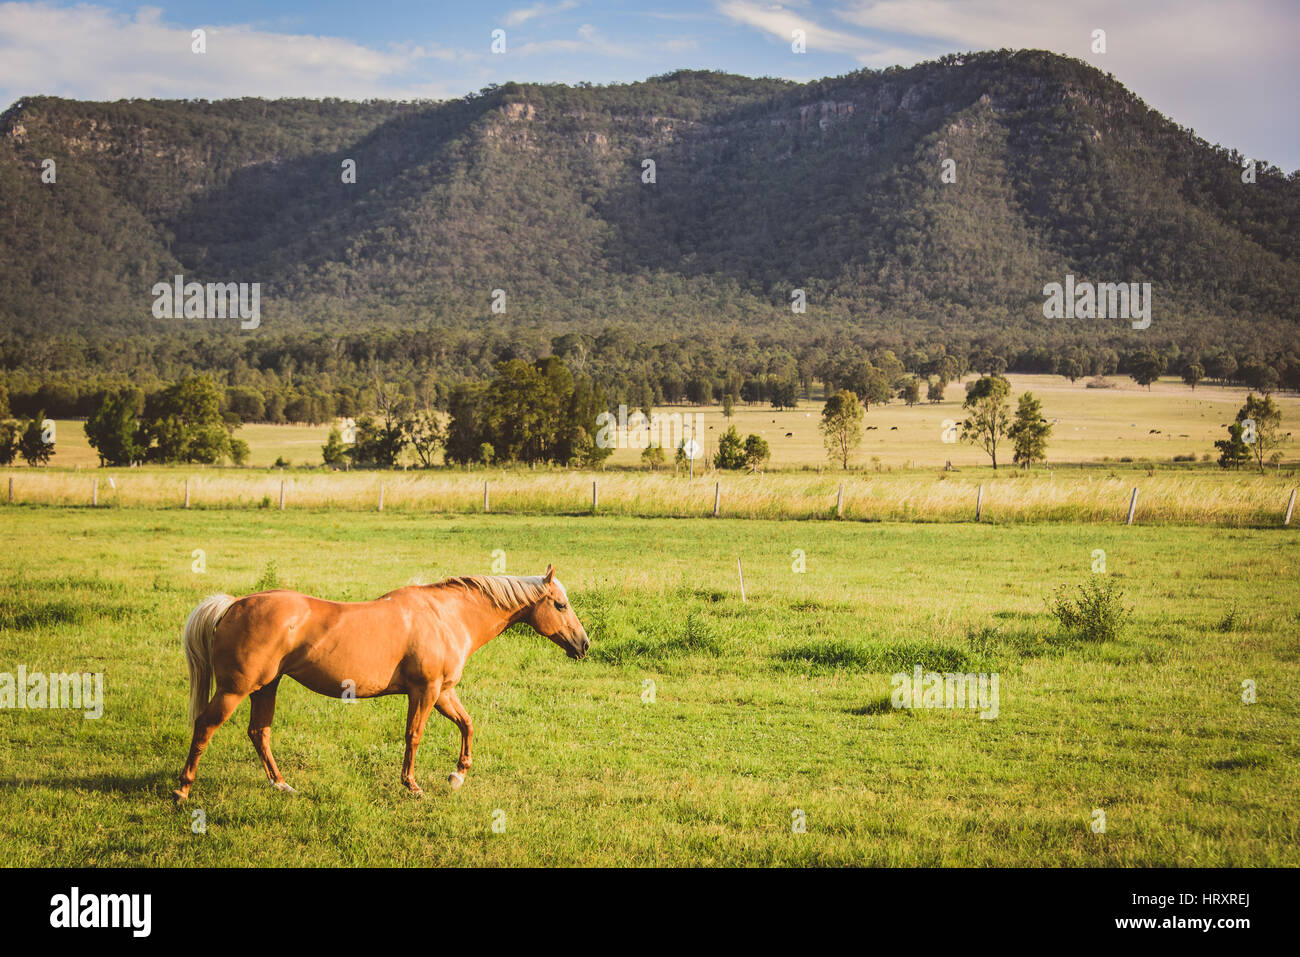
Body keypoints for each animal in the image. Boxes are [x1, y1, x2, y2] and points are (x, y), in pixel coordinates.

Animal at [172, 561, 590, 800]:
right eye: (561, 605)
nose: (584, 644)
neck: (446, 616)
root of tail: (234, 605)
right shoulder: (425, 692)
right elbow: (414, 736)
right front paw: (413, 786)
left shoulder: (443, 692)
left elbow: (467, 724)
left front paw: (457, 775)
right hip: (235, 690)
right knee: (205, 726)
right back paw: (182, 789)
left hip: (265, 687)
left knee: (259, 732)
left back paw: (281, 784)